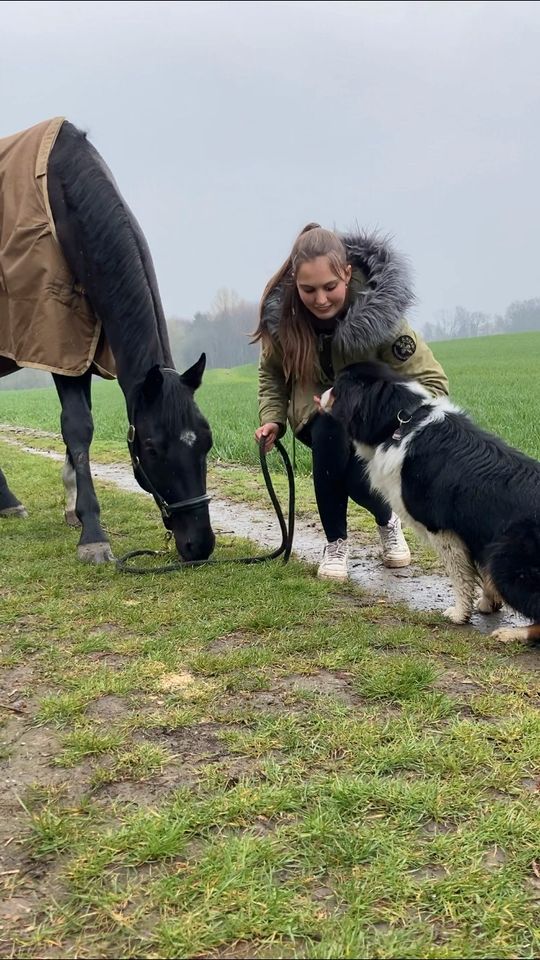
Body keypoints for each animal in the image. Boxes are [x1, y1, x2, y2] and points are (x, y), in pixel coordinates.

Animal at [0, 124, 215, 568]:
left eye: (207, 440)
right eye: (151, 448)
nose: (199, 546)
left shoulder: (79, 343)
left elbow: (78, 425)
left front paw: (73, 509)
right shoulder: (55, 336)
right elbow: (78, 427)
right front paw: (93, 535)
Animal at [320, 364, 540, 640]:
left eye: (337, 386)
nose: (321, 394)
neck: (399, 423)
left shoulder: (441, 528)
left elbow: (459, 574)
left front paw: (459, 614)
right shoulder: (475, 533)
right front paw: (488, 602)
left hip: (505, 560)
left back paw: (511, 634)